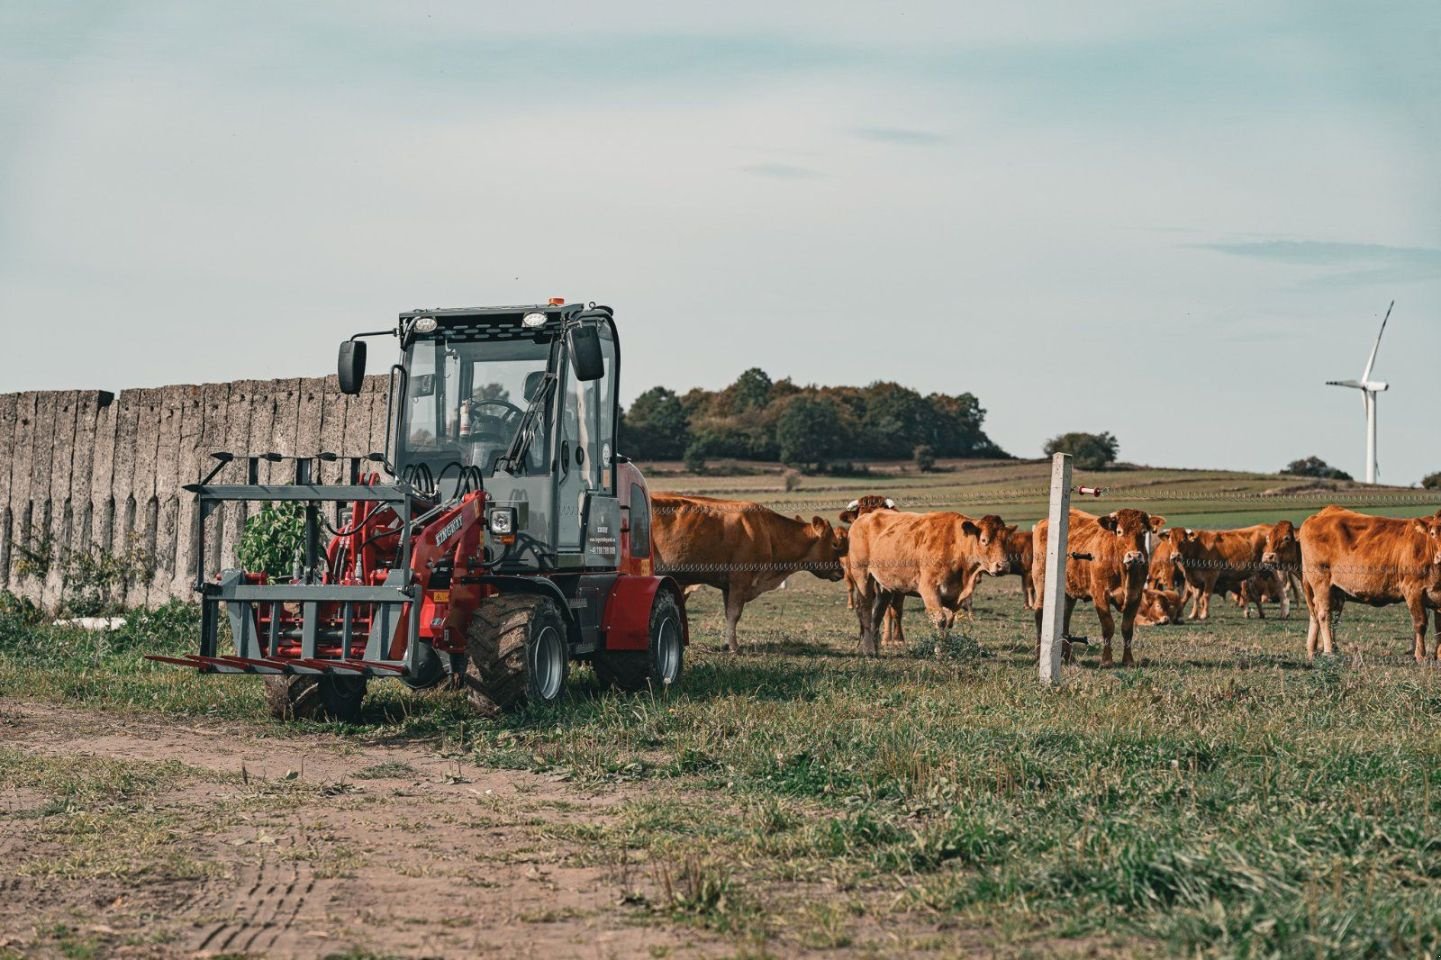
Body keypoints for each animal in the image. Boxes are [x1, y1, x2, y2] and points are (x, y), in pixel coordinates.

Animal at [651, 492, 847, 651]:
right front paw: (734, 646)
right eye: (834, 544)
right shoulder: (740, 581)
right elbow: (734, 614)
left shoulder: (728, 586)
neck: (768, 532)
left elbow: (728, 613)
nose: (841, 572)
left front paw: (727, 643)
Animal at [841, 504, 1014, 654]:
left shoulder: (953, 595)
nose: (1003, 566)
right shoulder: (929, 588)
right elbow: (940, 619)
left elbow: (949, 621)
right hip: (862, 575)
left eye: (1006, 540)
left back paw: (875, 647)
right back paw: (868, 648)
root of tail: (863, 518)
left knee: (878, 611)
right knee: (865, 608)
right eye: (984, 540)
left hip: (886, 585)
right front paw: (940, 650)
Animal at [1031, 507, 1164, 665]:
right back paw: (1039, 655)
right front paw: (1106, 661)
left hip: (1068, 592)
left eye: (1143, 532)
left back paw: (1068, 656)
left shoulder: (1135, 596)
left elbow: (1127, 629)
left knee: (1064, 618)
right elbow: (1108, 627)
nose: (1134, 556)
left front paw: (1128, 661)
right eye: (1119, 531)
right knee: (1040, 613)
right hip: (1041, 582)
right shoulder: (1100, 595)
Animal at [1296, 501, 1441, 657]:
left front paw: (1438, 655)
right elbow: (1420, 624)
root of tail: (1325, 512)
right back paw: (1329, 650)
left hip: (1333, 589)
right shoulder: (1413, 590)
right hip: (1321, 581)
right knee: (1324, 614)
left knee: (1317, 612)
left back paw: (1313, 650)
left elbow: (1438, 628)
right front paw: (1420, 655)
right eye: (1432, 533)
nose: (1440, 556)